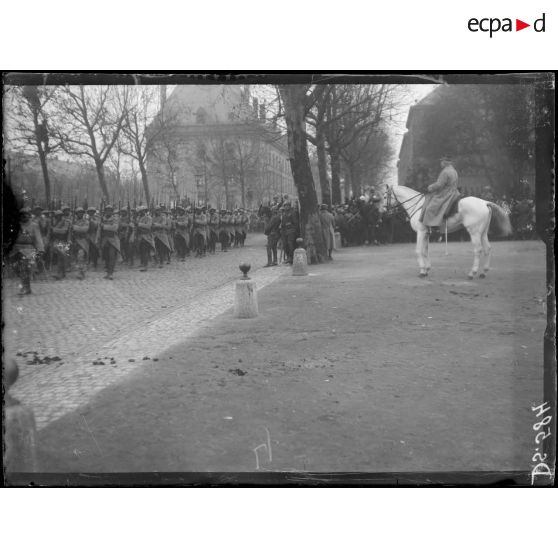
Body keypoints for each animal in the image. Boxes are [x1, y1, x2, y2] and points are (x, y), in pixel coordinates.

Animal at [388, 187, 516, 280]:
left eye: (386, 195)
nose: (386, 209)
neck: (417, 206)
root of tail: (484, 202)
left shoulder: (421, 232)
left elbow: (419, 251)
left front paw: (422, 271)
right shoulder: (426, 234)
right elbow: (425, 251)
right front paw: (427, 269)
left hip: (474, 232)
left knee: (478, 250)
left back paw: (472, 273)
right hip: (483, 233)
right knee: (487, 249)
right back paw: (483, 272)